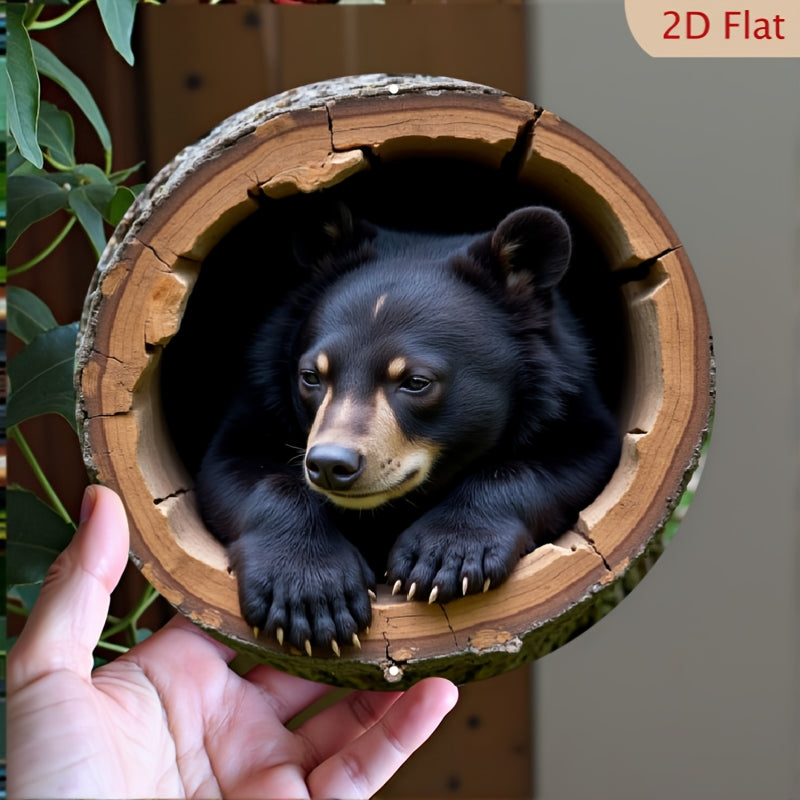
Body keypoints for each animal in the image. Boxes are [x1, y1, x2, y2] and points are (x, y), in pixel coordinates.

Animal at [196, 203, 621, 656]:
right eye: (311, 376)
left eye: (416, 382)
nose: (330, 464)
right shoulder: (261, 390)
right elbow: (237, 466)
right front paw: (311, 597)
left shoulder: (567, 394)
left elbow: (574, 458)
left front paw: (442, 559)